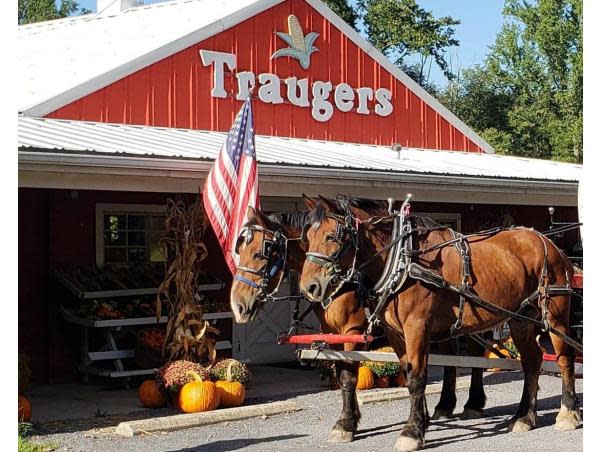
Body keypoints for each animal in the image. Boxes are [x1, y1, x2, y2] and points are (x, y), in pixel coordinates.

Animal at [230, 204, 488, 442]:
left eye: (263, 252)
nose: (238, 305)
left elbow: (349, 376)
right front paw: (357, 419)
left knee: (475, 352)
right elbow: (346, 372)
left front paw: (346, 423)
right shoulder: (333, 333)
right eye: (239, 248)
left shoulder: (353, 329)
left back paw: (473, 403)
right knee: (450, 357)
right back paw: (445, 405)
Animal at [298, 198, 580, 452]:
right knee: (532, 361)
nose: (309, 288)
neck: (403, 261)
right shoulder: (395, 333)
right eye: (308, 237)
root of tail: (551, 244)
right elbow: (404, 373)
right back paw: (524, 417)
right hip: (520, 318)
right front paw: (419, 423)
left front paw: (411, 432)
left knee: (565, 358)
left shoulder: (416, 326)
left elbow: (416, 377)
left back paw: (568, 412)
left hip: (555, 314)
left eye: (332, 237)